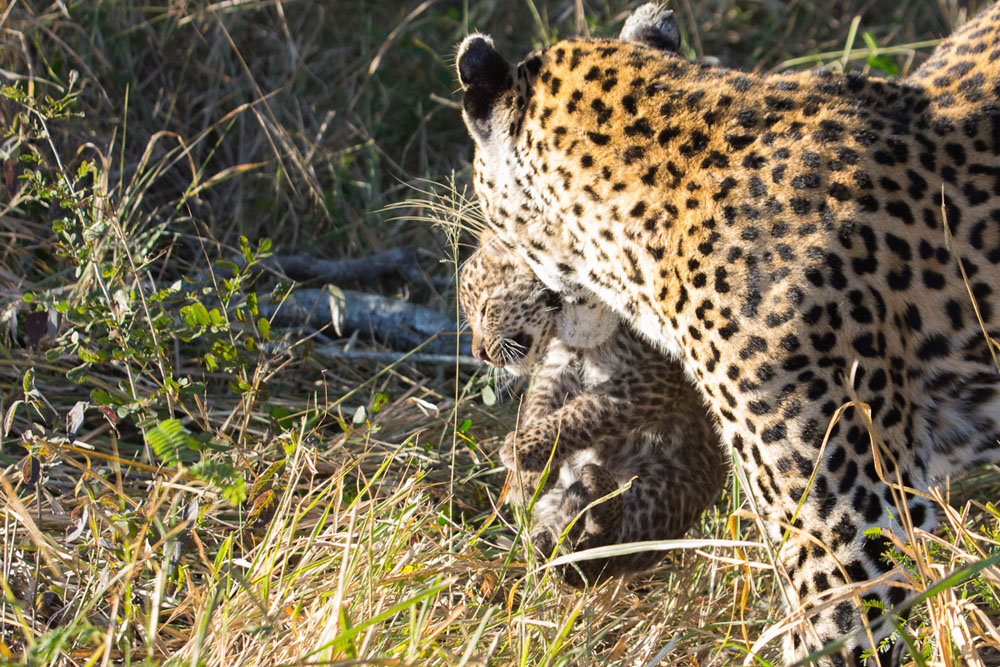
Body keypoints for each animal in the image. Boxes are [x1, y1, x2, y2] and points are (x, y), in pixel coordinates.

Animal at [459, 230, 725, 584]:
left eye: (486, 309)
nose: (478, 354)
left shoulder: (654, 378)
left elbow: (586, 412)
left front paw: (519, 450)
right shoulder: (558, 365)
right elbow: (541, 405)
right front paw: (527, 480)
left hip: (662, 485)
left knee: (602, 547)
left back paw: (596, 491)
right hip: (564, 509)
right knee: (566, 550)